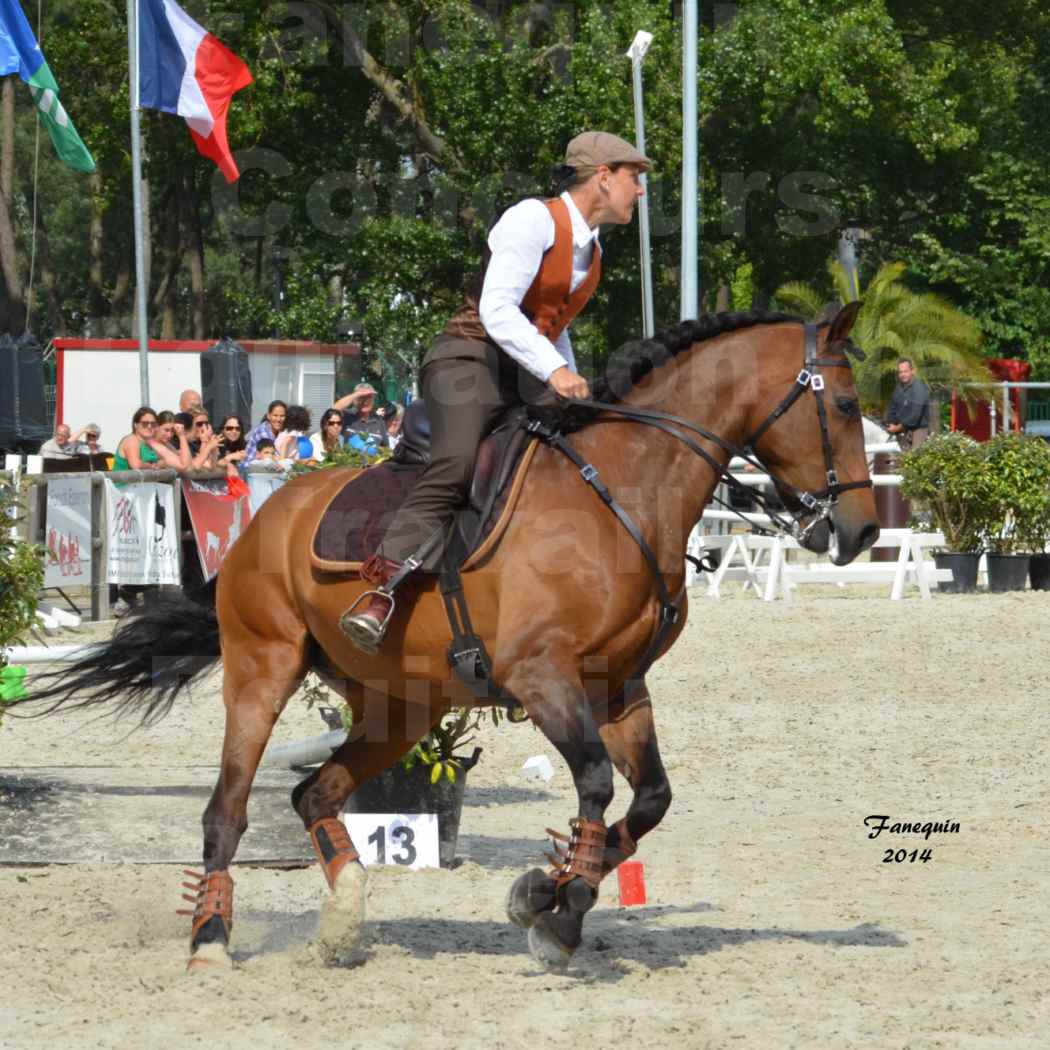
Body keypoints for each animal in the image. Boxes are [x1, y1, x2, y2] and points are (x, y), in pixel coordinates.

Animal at [28, 304, 877, 974]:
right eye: (843, 402)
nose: (863, 531)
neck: (624, 493)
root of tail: (264, 517)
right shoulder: (542, 677)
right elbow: (597, 783)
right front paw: (560, 908)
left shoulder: (617, 685)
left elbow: (649, 800)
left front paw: (546, 891)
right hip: (264, 669)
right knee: (227, 810)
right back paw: (211, 937)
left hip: (398, 706)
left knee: (314, 793)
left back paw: (344, 918)